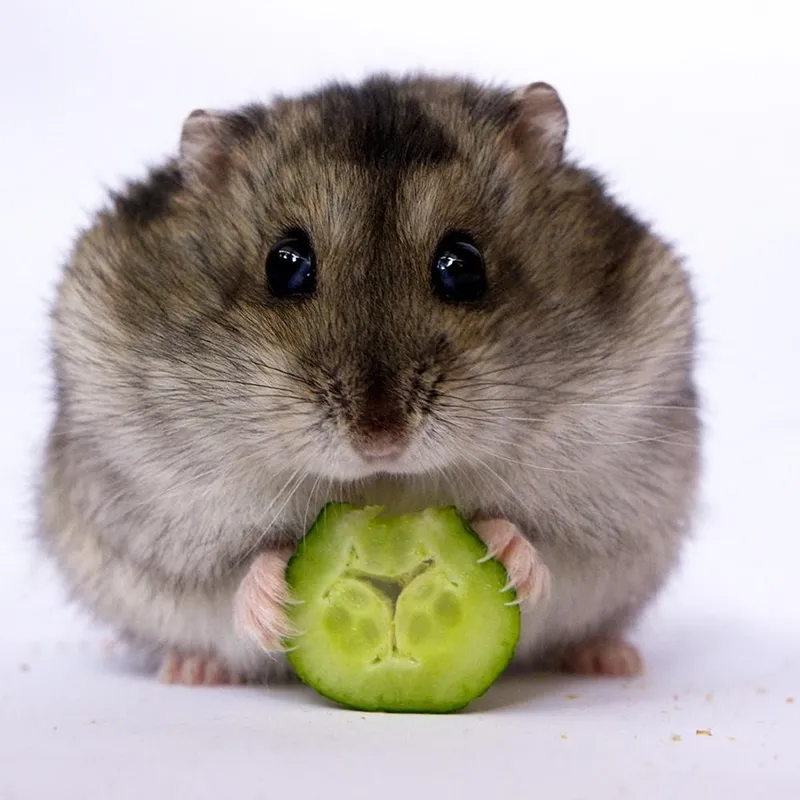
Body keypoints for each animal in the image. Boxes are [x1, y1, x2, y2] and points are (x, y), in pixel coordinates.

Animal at [36, 74, 700, 686]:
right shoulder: (162, 521)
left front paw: (506, 549)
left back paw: (610, 660)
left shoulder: (607, 506)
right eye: (286, 264)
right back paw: (189, 671)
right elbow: (230, 575)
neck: (389, 484)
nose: (380, 441)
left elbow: (549, 548)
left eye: (462, 266)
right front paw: (272, 596)